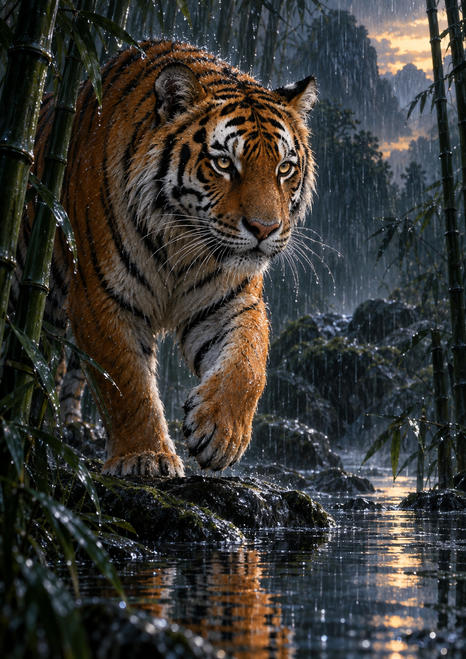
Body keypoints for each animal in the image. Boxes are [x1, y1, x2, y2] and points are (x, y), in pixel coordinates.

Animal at [19, 39, 317, 477]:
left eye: (284, 168)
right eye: (224, 163)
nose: (265, 229)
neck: (182, 239)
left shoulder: (231, 300)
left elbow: (247, 363)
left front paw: (221, 432)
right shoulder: (101, 297)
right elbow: (125, 383)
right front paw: (145, 457)